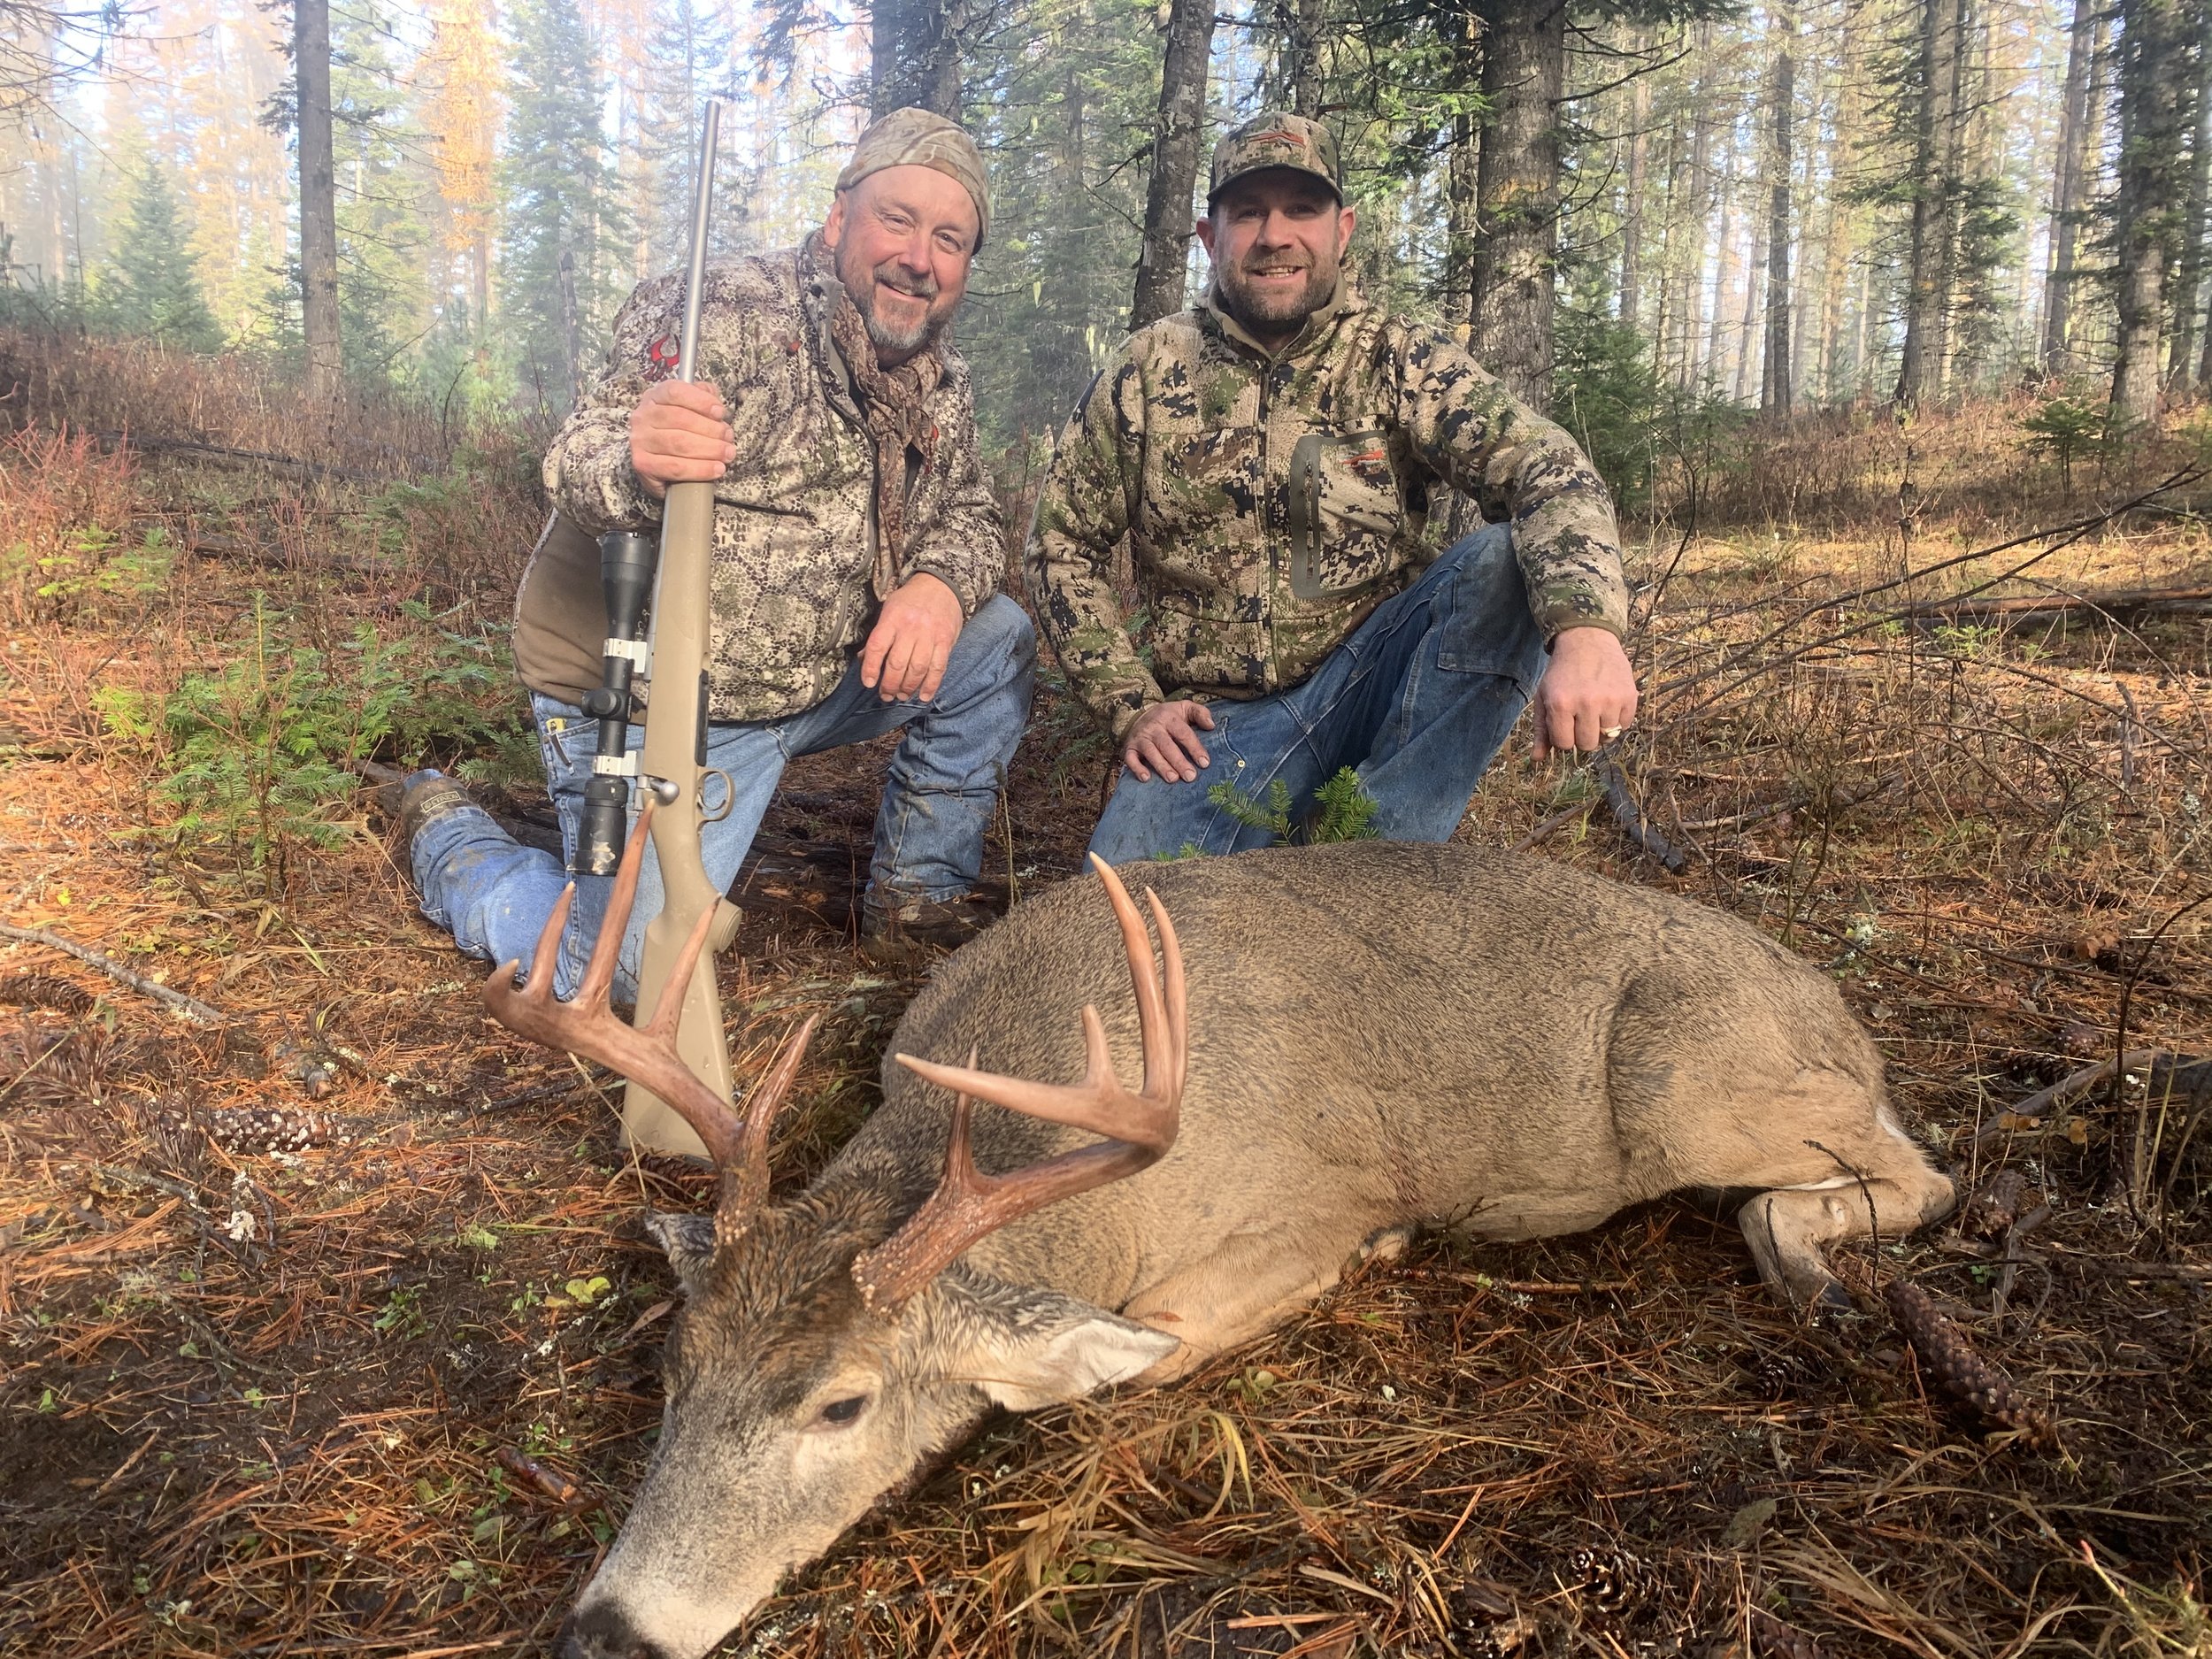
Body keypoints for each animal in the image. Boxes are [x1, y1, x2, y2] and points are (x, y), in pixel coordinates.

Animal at [487, 804, 1955, 1659]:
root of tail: (1844, 1013)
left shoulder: (1314, 1191)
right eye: (671, 1368)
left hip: (1686, 1085)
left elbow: (1160, 1333)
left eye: (841, 1402)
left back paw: (1815, 1263)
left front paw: (1378, 1250)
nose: (605, 1629)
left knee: (1913, 1171)